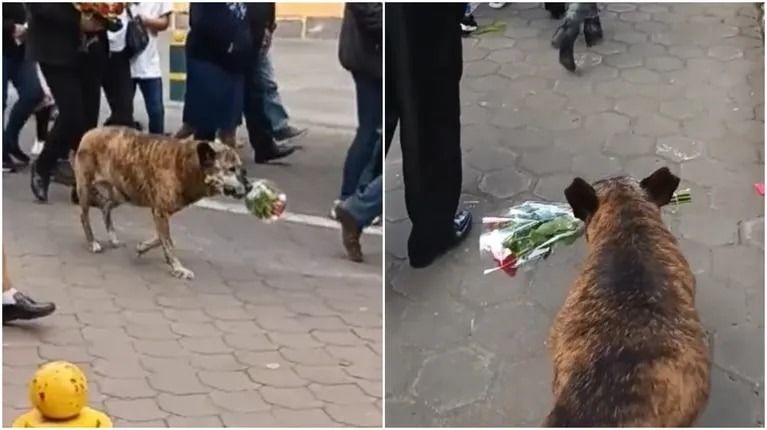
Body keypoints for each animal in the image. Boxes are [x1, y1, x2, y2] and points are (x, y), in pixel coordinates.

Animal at [73, 125, 252, 278]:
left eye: (241, 168)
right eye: (231, 169)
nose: (250, 186)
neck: (187, 165)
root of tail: (90, 132)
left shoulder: (162, 212)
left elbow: (161, 238)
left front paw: (143, 247)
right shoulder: (160, 212)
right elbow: (168, 242)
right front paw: (178, 267)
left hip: (124, 192)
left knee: (106, 207)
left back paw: (112, 237)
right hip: (86, 188)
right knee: (84, 216)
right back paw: (92, 242)